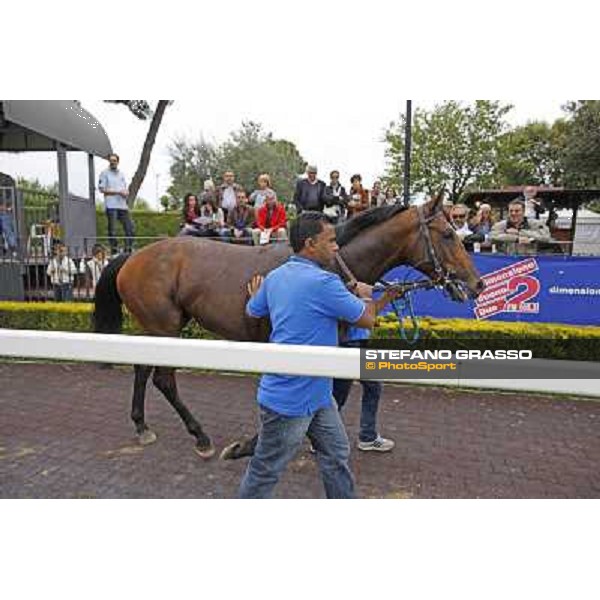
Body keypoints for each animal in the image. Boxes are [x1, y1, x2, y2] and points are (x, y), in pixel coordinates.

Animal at [95, 195, 482, 458]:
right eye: (448, 234)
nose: (476, 284)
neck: (330, 266)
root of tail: (132, 256)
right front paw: (249, 446)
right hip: (165, 326)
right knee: (163, 379)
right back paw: (200, 436)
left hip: (155, 329)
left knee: (142, 370)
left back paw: (142, 425)